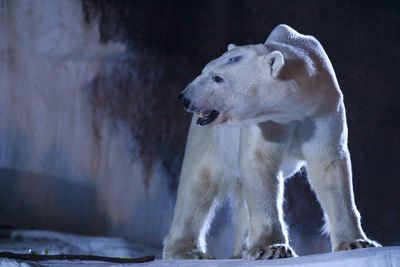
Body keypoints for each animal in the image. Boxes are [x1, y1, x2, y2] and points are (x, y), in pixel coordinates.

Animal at [163, 24, 382, 260]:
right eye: (204, 70)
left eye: (218, 78)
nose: (185, 97)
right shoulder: (266, 122)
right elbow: (259, 162)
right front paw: (271, 248)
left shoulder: (324, 108)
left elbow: (328, 165)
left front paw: (356, 243)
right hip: (208, 140)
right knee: (196, 184)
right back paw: (190, 251)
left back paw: (240, 250)